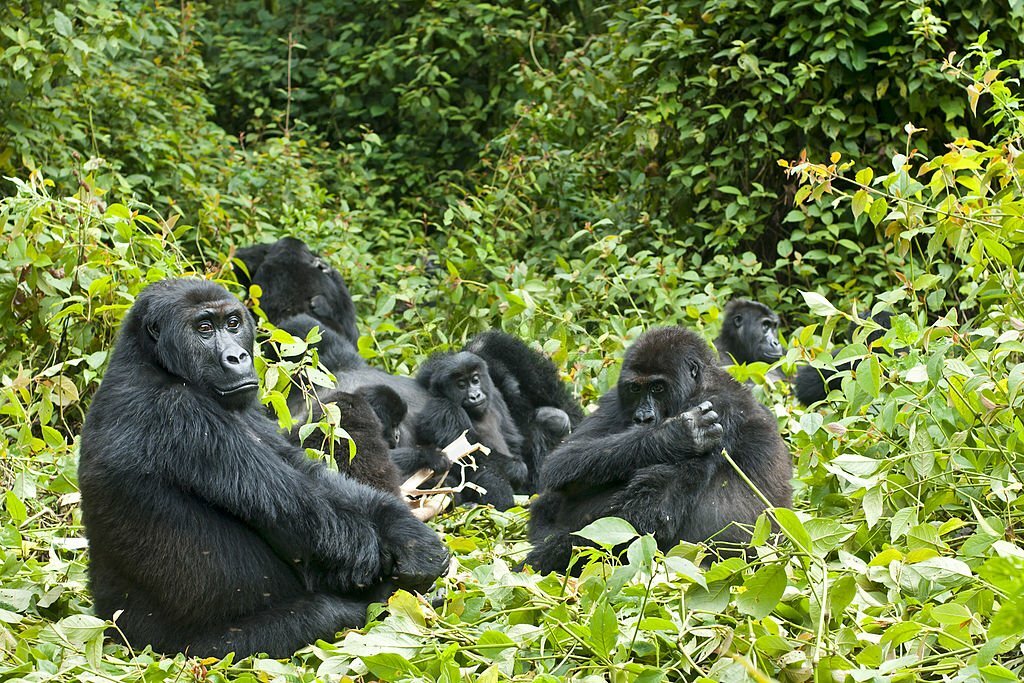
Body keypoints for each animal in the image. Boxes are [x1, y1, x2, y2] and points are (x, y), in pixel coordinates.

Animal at [78, 280, 448, 659]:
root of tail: (110, 624)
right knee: (324, 614)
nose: (238, 357)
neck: (151, 361)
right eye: (204, 328)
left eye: (233, 324)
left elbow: (309, 474)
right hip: (196, 650)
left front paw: (408, 535)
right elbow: (313, 519)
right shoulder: (179, 413)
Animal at [413, 352, 528, 507]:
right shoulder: (443, 409)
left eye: (475, 380)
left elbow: (512, 441)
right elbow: (469, 452)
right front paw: (517, 468)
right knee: (489, 471)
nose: (475, 396)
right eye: (461, 385)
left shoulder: (496, 396)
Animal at [528, 327, 790, 573]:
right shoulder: (615, 398)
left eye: (657, 388)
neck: (701, 383)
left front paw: (536, 562)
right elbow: (563, 458)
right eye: (635, 389)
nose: (643, 418)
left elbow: (644, 516)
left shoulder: (719, 405)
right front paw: (675, 436)